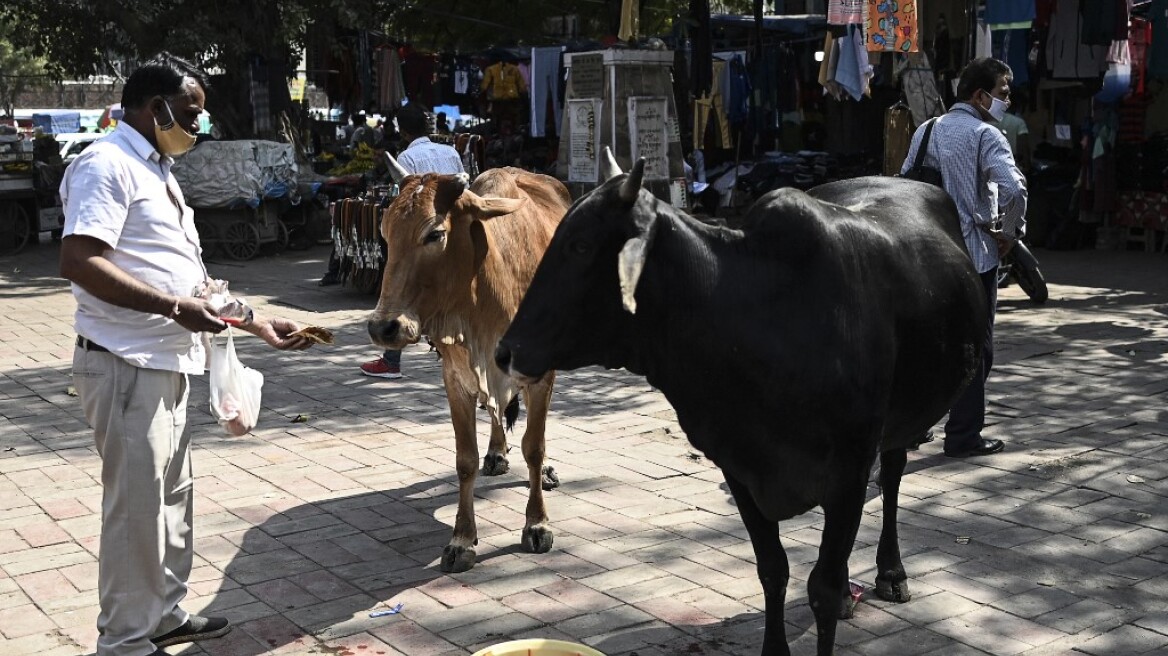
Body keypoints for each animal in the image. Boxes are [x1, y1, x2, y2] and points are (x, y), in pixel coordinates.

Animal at [362, 155, 567, 569]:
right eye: (386, 233)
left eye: (434, 234)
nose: (383, 327)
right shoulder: (456, 378)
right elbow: (465, 460)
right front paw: (461, 539)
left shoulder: (541, 374)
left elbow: (533, 447)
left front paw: (536, 524)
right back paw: (497, 452)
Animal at [492, 149, 985, 653]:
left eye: (580, 246)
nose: (505, 352)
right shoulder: (740, 466)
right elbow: (773, 570)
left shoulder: (848, 471)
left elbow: (822, 589)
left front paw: (844, 593)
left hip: (899, 424)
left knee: (893, 476)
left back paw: (892, 572)